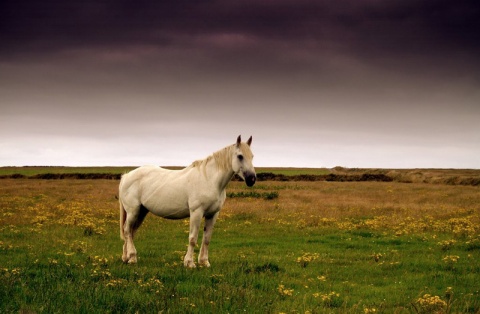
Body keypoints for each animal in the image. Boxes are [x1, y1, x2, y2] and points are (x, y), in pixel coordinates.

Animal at [118, 135, 256, 268]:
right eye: (240, 156)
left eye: (252, 156)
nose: (252, 179)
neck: (209, 180)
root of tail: (126, 176)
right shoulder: (196, 212)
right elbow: (193, 238)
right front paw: (189, 263)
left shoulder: (213, 214)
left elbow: (207, 238)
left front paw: (204, 262)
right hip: (133, 211)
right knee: (127, 231)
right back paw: (132, 257)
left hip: (142, 212)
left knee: (130, 232)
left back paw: (126, 258)